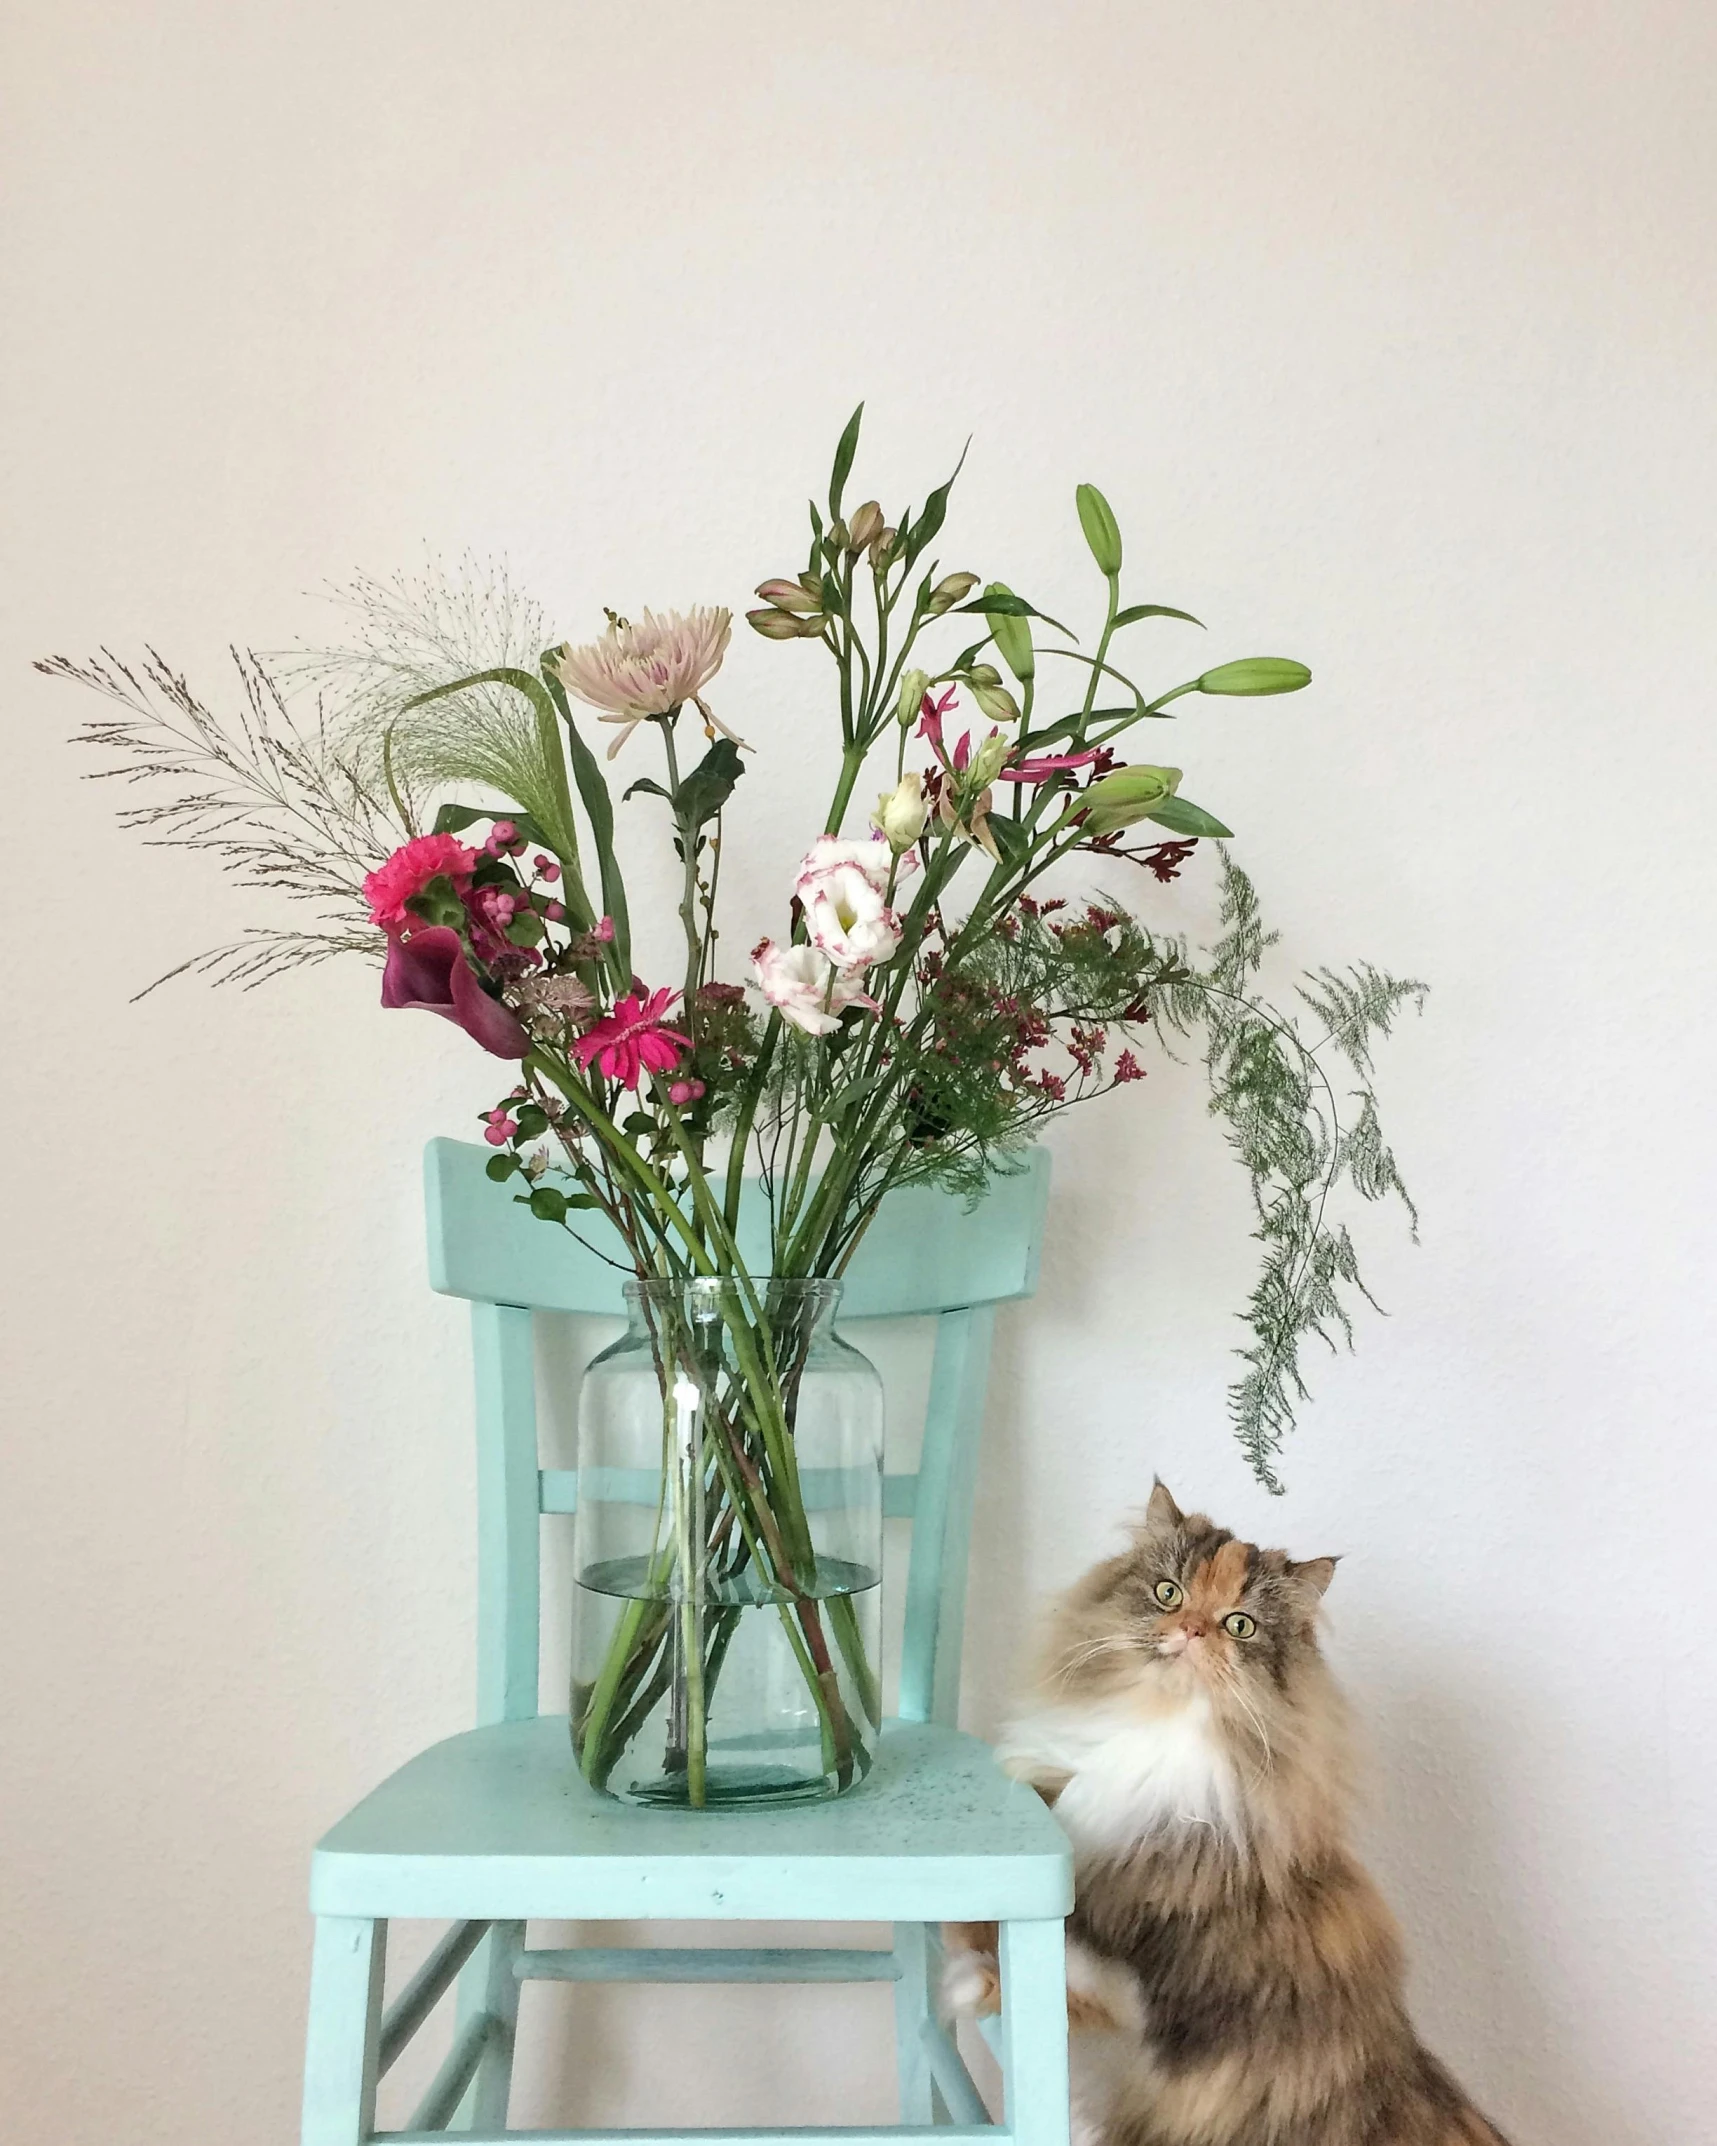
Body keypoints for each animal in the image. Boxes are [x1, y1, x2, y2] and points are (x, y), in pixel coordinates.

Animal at [944, 1485, 1510, 2146]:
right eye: (1169, 1593)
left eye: (1239, 1625)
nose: (1191, 1630)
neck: (1151, 1727)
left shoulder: (1155, 1983)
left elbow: (1077, 1988)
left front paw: (970, 1984)